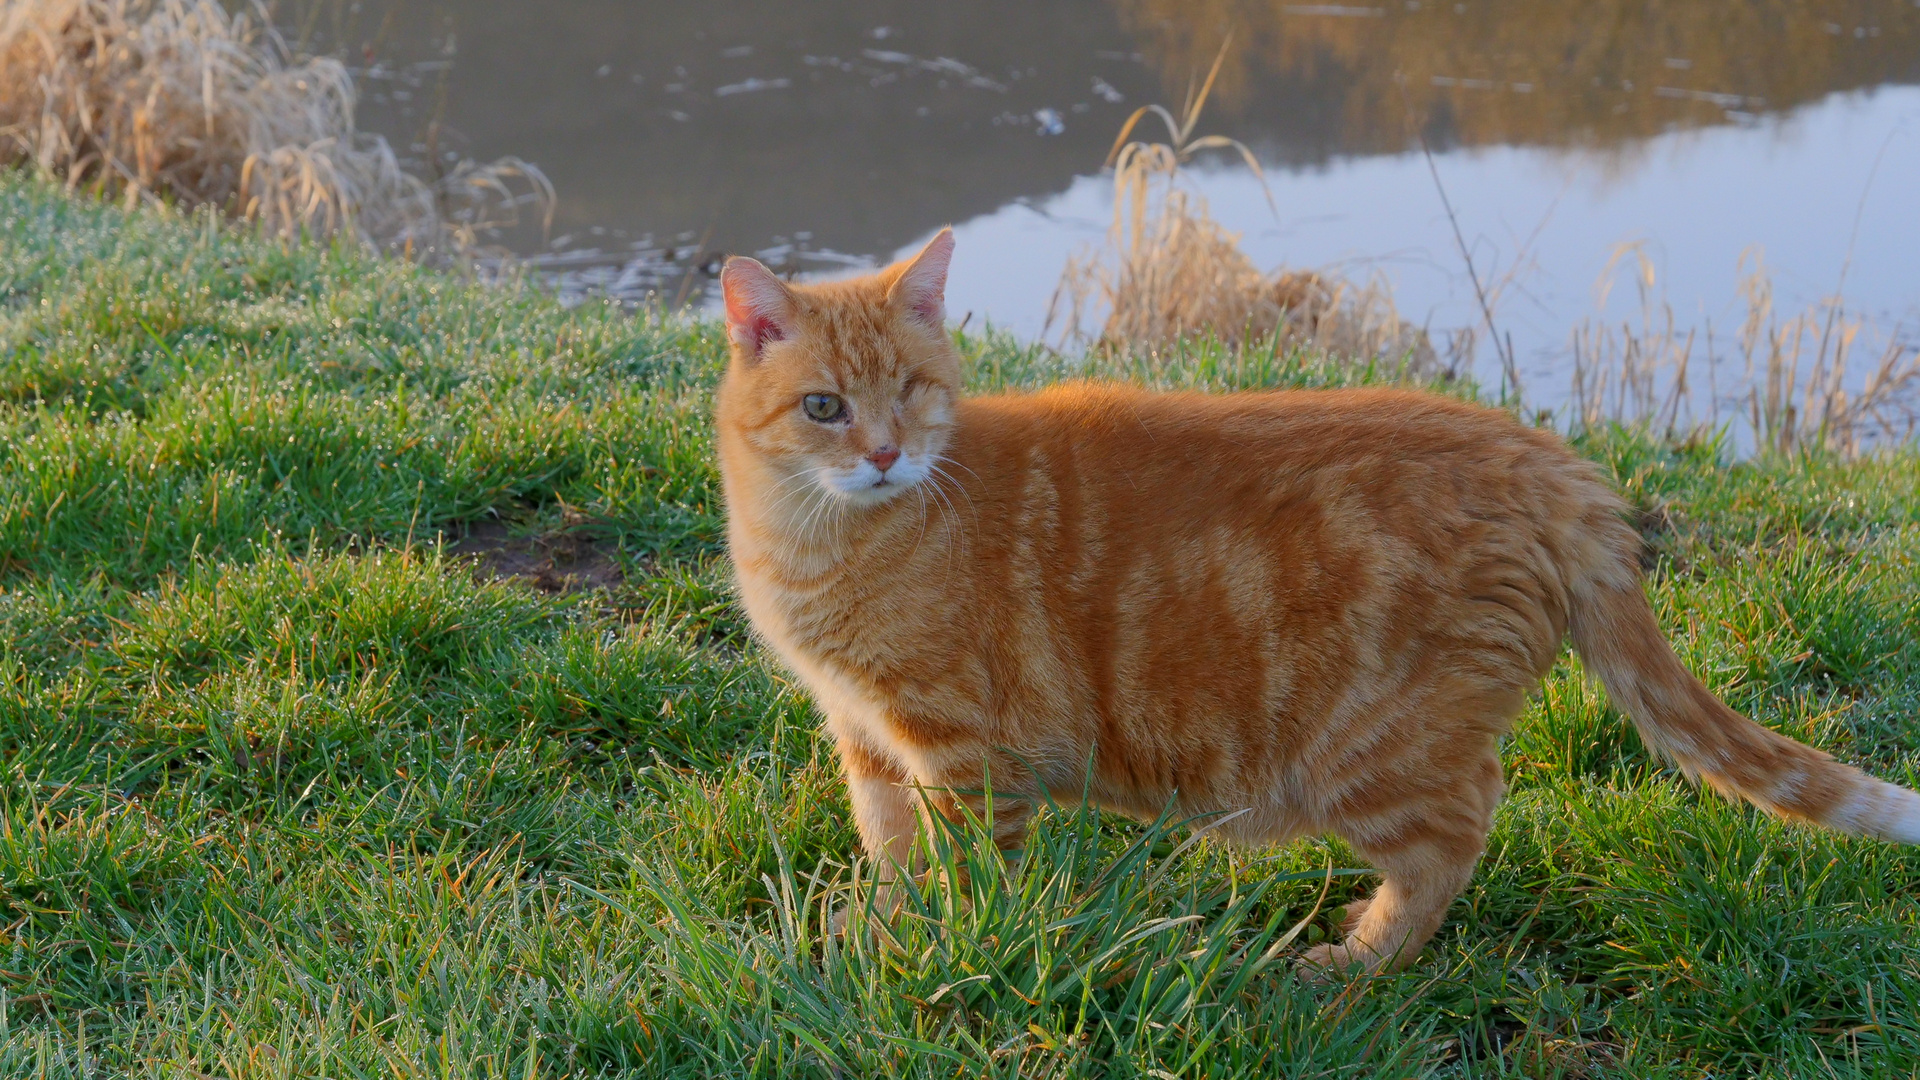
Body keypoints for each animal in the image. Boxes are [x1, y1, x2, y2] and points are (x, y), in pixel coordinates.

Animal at [710, 231, 1920, 972]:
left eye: (913, 390)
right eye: (825, 407)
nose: (883, 453)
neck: (820, 543)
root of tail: (1549, 459)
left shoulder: (965, 748)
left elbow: (966, 877)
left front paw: (948, 953)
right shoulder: (868, 735)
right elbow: (890, 847)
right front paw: (881, 934)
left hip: (1369, 754)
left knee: (1458, 829)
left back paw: (1358, 962)